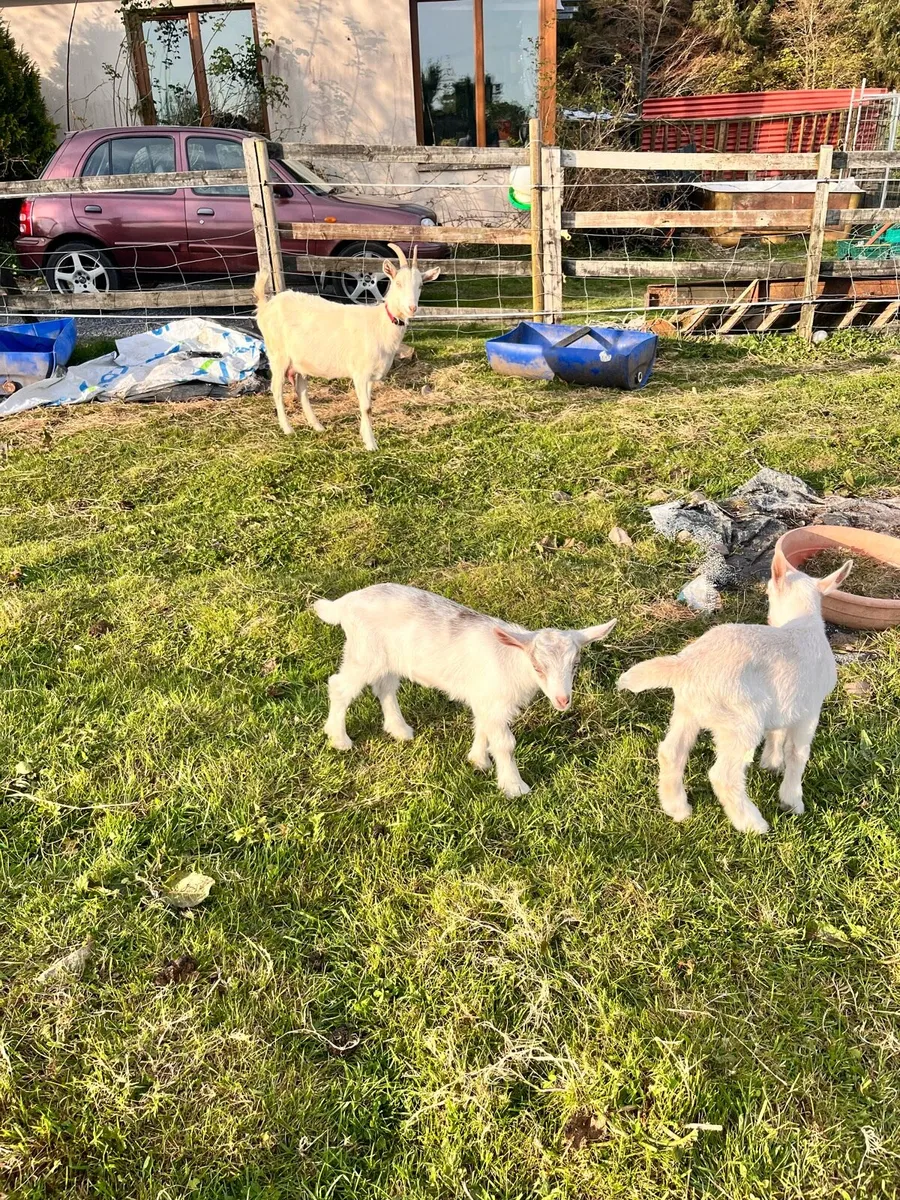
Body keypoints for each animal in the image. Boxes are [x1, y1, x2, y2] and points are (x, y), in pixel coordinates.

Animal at [254, 243, 439, 450]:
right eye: (398, 283)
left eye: (421, 285)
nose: (412, 308)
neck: (380, 323)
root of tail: (265, 306)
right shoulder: (360, 372)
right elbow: (366, 407)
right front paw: (371, 444)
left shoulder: (370, 376)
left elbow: (367, 406)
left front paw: (364, 435)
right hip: (278, 355)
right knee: (276, 389)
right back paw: (288, 429)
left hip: (299, 361)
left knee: (301, 390)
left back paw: (317, 426)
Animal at [313, 583, 616, 797]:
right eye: (537, 666)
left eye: (575, 664)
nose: (563, 700)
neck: (513, 662)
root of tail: (346, 601)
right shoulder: (494, 701)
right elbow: (504, 743)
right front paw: (514, 787)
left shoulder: (485, 699)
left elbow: (482, 727)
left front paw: (478, 761)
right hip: (364, 653)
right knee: (340, 687)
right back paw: (339, 739)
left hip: (387, 658)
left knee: (385, 687)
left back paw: (399, 730)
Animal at [617, 555, 852, 834]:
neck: (803, 621)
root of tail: (686, 665)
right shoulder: (810, 709)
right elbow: (797, 753)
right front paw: (792, 801)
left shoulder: (786, 702)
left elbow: (776, 733)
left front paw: (771, 763)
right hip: (740, 721)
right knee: (723, 776)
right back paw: (752, 824)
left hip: (687, 710)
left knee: (671, 752)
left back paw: (677, 808)